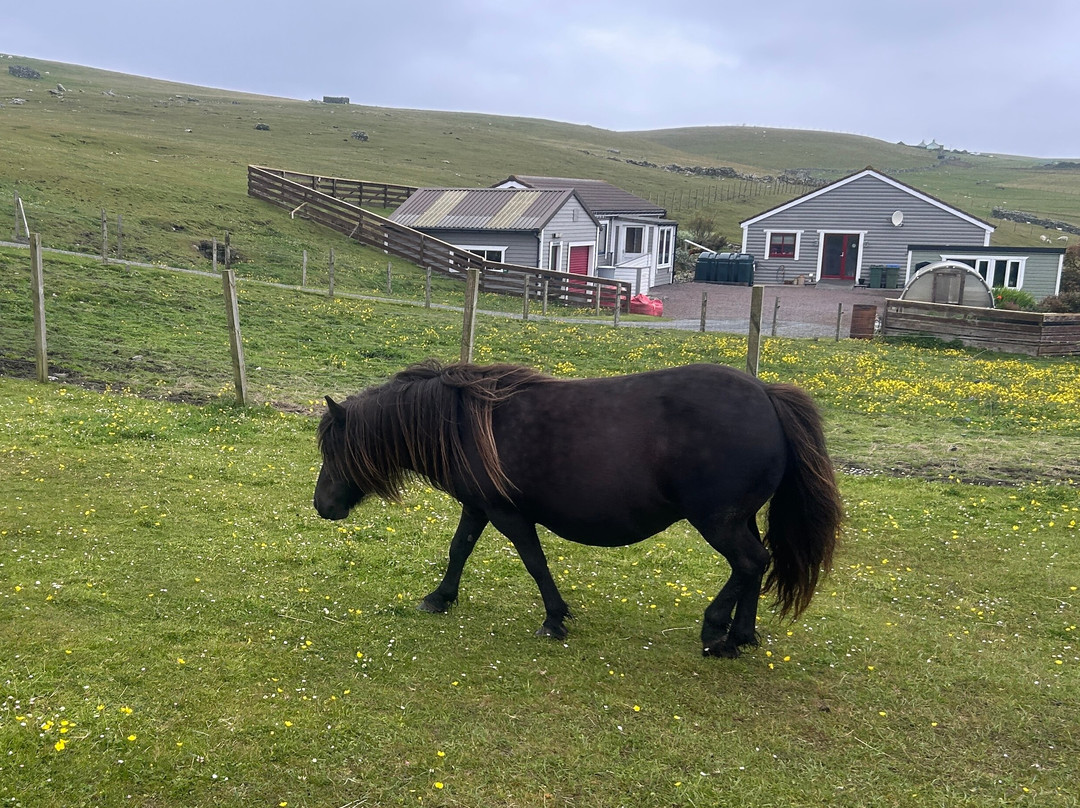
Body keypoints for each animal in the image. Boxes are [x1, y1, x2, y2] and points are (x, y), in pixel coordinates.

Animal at [313, 360, 843, 658]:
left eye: (333, 450)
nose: (322, 506)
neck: (464, 422)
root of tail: (767, 395)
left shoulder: (508, 514)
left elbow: (534, 561)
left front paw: (554, 618)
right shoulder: (479, 506)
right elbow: (458, 549)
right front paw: (440, 597)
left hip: (719, 521)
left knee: (750, 562)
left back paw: (717, 632)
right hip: (739, 518)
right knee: (757, 565)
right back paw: (742, 636)